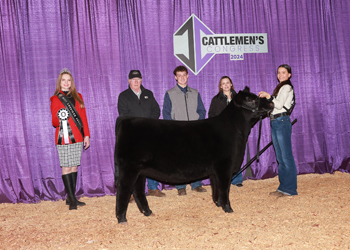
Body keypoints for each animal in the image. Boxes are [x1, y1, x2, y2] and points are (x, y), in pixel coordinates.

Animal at [115, 87, 274, 224]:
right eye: (251, 100)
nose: (271, 102)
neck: (236, 129)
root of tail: (126, 119)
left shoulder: (215, 170)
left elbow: (216, 187)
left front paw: (218, 204)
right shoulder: (224, 166)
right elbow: (224, 188)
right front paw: (228, 208)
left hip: (140, 171)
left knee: (138, 191)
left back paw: (147, 212)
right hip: (129, 168)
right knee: (124, 190)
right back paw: (122, 219)